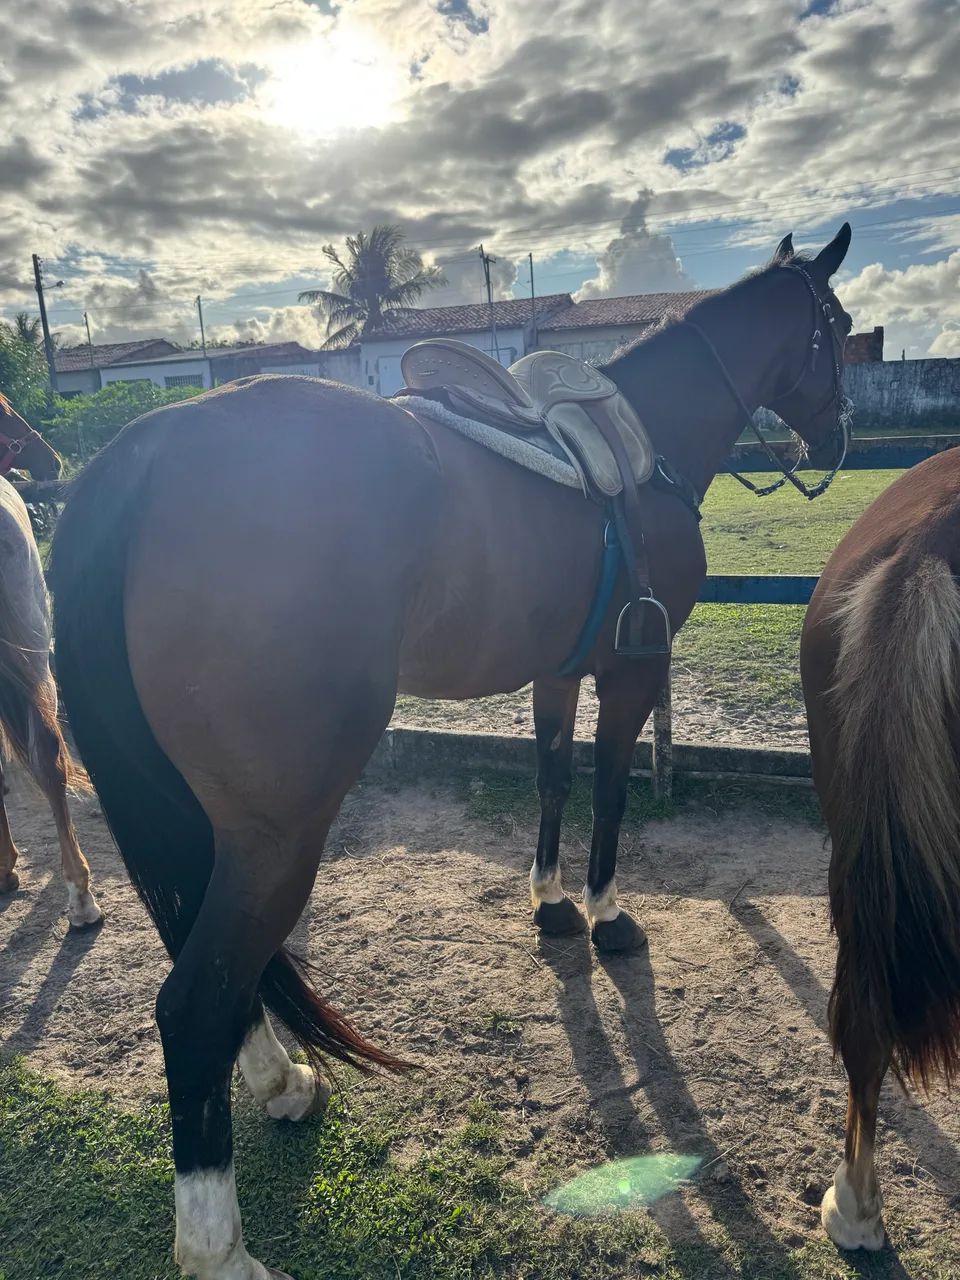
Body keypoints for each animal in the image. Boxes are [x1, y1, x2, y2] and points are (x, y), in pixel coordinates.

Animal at [49, 225, 853, 1280]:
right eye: (838, 328)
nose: (836, 441)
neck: (644, 447)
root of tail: (142, 453)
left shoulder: (560, 670)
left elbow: (553, 776)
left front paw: (550, 903)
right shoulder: (632, 672)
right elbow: (610, 787)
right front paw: (607, 914)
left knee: (210, 967)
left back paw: (282, 1083)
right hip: (276, 833)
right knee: (194, 1003)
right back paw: (221, 1247)